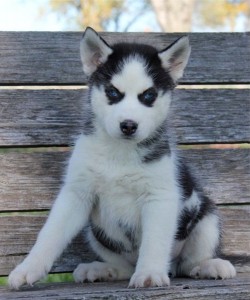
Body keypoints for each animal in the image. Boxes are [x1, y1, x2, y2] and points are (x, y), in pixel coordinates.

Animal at [8, 27, 236, 288]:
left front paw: (149, 272)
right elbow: (50, 234)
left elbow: (155, 241)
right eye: (112, 92)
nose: (128, 125)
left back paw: (208, 266)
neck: (119, 154)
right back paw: (102, 270)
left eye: (148, 96)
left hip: (207, 217)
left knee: (187, 264)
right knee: (126, 267)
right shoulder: (77, 193)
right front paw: (28, 268)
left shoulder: (160, 197)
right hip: (96, 233)